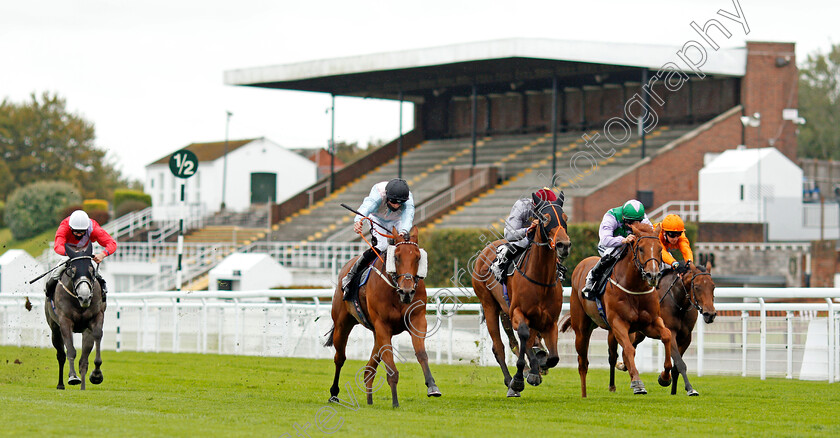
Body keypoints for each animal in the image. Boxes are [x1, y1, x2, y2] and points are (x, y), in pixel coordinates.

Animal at [44, 243, 105, 390]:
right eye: (72, 270)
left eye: (91, 270)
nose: (85, 297)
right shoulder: (65, 322)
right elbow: (70, 351)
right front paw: (72, 377)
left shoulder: (96, 318)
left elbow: (97, 336)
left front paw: (96, 375)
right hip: (54, 329)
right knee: (61, 355)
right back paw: (61, 384)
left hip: (85, 331)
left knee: (83, 360)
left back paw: (83, 387)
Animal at [322, 226, 440, 408]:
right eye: (396, 257)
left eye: (418, 257)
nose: (407, 291)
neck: (395, 291)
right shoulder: (383, 325)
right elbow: (390, 365)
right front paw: (395, 402)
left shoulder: (417, 321)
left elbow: (421, 354)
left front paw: (432, 386)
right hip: (342, 325)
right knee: (340, 358)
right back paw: (334, 394)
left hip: (375, 333)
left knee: (369, 369)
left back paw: (369, 400)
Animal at [472, 195, 572, 396]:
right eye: (545, 218)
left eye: (565, 217)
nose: (563, 245)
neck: (540, 279)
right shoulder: (517, 312)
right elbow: (524, 336)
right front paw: (520, 378)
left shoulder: (549, 320)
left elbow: (553, 357)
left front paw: (539, 364)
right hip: (490, 305)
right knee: (499, 347)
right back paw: (511, 382)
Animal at [560, 222, 672, 396]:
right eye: (641, 248)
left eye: (660, 249)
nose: (652, 275)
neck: (634, 288)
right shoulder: (619, 322)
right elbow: (628, 349)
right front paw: (637, 382)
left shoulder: (649, 323)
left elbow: (666, 336)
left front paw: (665, 377)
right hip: (582, 329)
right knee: (583, 362)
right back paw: (584, 395)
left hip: (611, 331)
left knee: (612, 356)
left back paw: (612, 386)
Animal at [612, 262, 716, 396]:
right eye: (697, 287)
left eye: (713, 287)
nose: (710, 314)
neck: (679, 303)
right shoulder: (670, 332)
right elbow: (680, 363)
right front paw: (689, 388)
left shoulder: (686, 337)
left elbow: (676, 367)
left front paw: (674, 391)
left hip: (641, 334)